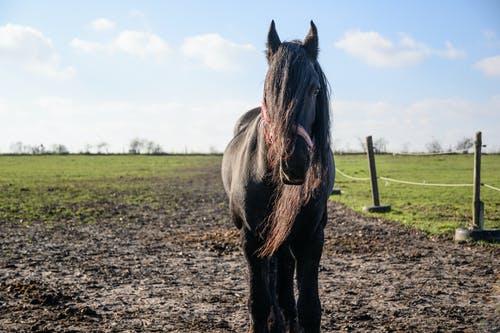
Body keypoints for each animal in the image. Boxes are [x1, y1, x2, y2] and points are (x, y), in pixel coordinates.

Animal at [221, 20, 334, 332]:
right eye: (269, 89)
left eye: (315, 90)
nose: (293, 162)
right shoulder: (251, 238)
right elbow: (258, 302)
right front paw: (270, 319)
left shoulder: (311, 236)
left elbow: (310, 307)